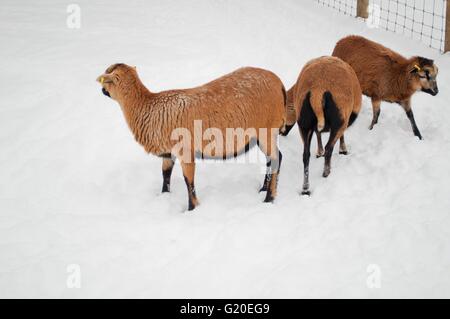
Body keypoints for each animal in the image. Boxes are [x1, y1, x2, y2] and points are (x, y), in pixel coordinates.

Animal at [96, 63, 286, 211]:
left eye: (107, 80)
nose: (102, 90)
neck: (147, 106)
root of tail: (279, 83)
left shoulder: (185, 151)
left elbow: (189, 181)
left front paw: (192, 208)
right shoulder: (169, 153)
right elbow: (165, 174)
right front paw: (164, 197)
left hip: (266, 129)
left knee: (277, 158)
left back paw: (269, 198)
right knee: (270, 160)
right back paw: (263, 188)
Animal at [288, 57, 362, 195]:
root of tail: (318, 90)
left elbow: (318, 133)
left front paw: (319, 152)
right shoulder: (345, 119)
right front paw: (343, 150)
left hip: (303, 123)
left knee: (305, 155)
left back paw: (305, 188)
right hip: (339, 120)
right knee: (329, 148)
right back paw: (326, 173)